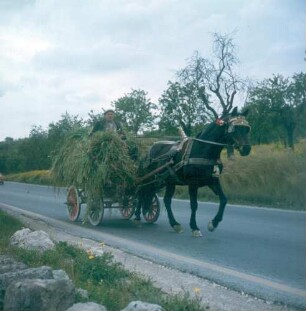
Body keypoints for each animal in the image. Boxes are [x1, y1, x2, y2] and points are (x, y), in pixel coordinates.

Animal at [135, 106, 252, 238]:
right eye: (235, 128)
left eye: (247, 129)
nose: (246, 149)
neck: (202, 150)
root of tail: (148, 152)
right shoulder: (193, 183)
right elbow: (194, 205)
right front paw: (195, 227)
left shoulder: (213, 180)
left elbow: (223, 200)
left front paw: (213, 223)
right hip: (148, 178)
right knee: (141, 192)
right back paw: (137, 217)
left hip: (167, 181)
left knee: (165, 200)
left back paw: (175, 224)